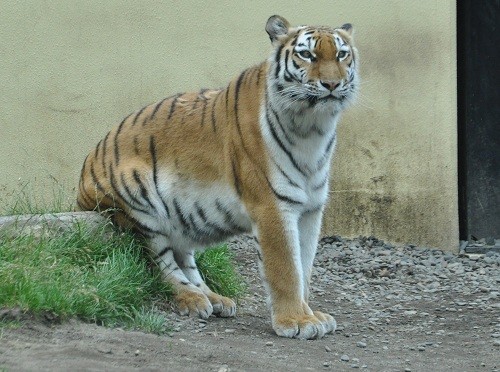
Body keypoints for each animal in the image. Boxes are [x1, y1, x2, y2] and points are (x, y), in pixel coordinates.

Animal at [76, 15, 358, 340]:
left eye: (341, 54)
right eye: (308, 54)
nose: (332, 84)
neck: (312, 128)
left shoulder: (311, 209)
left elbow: (305, 266)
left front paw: (309, 313)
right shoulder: (272, 206)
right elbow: (286, 268)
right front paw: (296, 321)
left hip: (181, 215)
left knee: (184, 259)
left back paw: (214, 298)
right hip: (139, 200)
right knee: (160, 265)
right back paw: (193, 299)